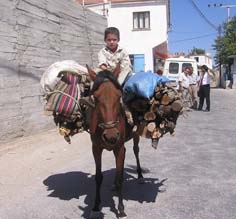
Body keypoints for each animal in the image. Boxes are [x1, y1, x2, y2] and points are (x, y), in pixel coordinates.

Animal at [86, 66, 143, 218]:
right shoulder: (96, 148)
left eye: (119, 96)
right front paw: (95, 206)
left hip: (134, 135)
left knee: (135, 151)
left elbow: (119, 181)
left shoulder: (118, 147)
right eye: (96, 97)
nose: (111, 135)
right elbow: (98, 177)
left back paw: (140, 175)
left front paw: (121, 208)